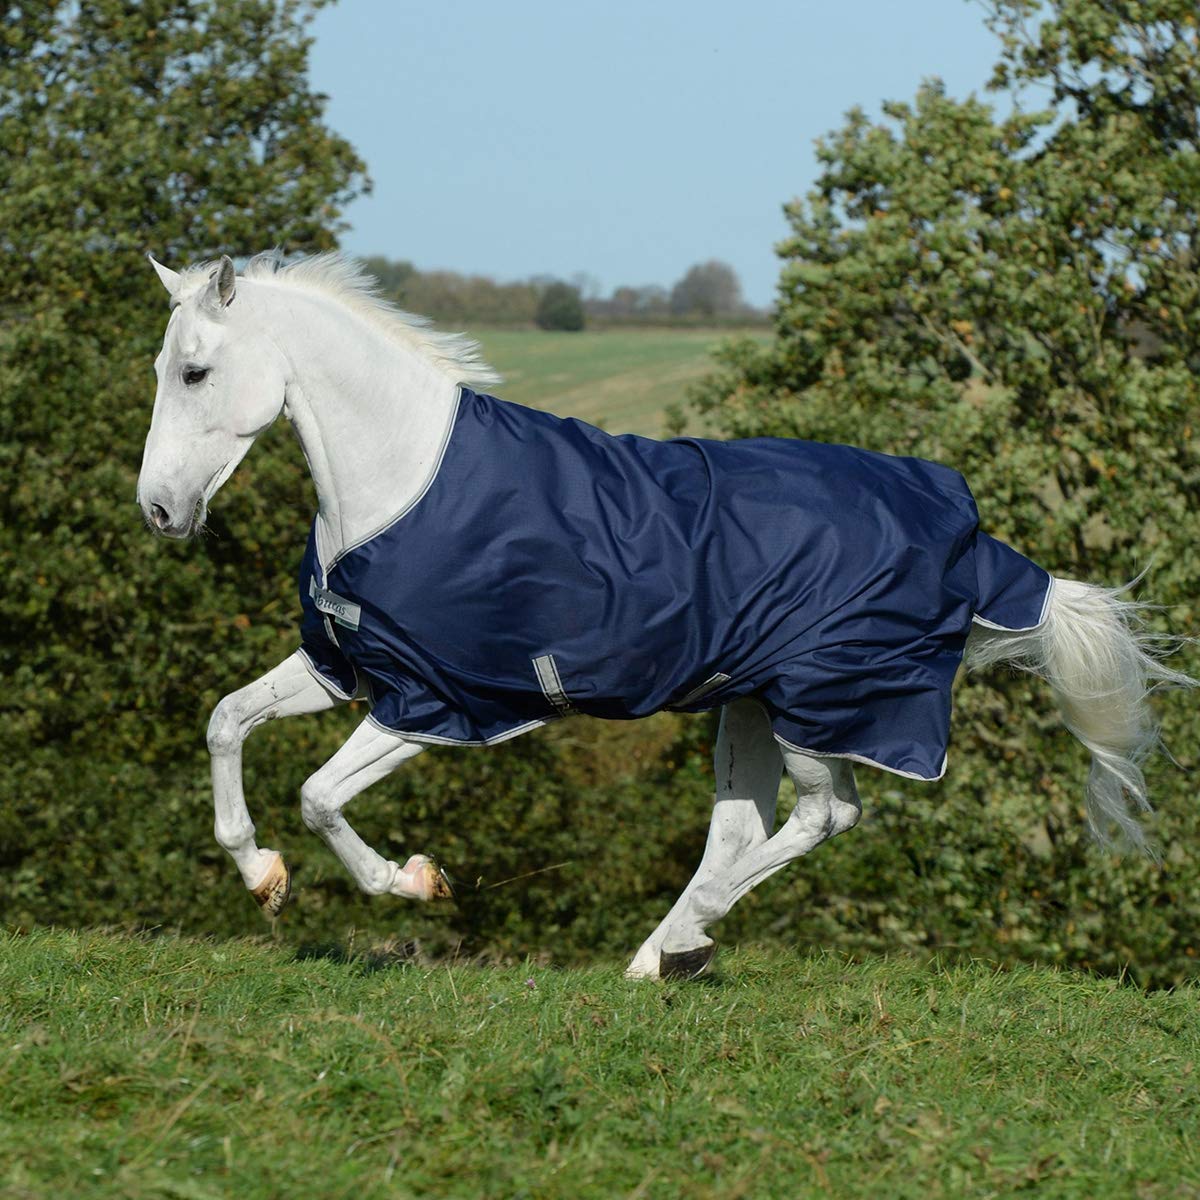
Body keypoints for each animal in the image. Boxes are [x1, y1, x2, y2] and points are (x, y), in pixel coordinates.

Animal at [137, 251, 1193, 980]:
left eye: (193, 373)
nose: (159, 512)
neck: (404, 483)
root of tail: (969, 538)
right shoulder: (348, 667)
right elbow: (225, 721)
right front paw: (261, 876)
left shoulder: (439, 704)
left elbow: (320, 795)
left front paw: (412, 880)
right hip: (752, 704)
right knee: (744, 827)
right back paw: (663, 955)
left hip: (821, 706)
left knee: (827, 815)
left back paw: (685, 938)